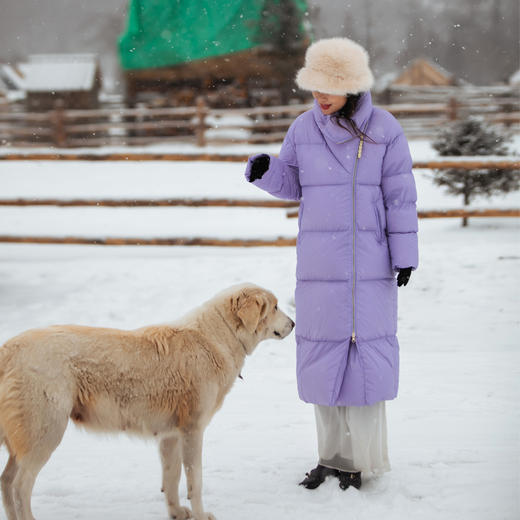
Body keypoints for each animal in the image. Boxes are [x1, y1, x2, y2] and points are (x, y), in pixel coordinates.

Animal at [0, 284, 294, 520]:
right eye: (275, 306)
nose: (293, 323)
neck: (218, 337)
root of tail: (8, 349)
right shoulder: (193, 430)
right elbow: (195, 482)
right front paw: (200, 515)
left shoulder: (170, 435)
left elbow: (172, 478)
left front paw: (176, 513)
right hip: (44, 433)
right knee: (20, 487)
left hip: (23, 439)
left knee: (5, 482)